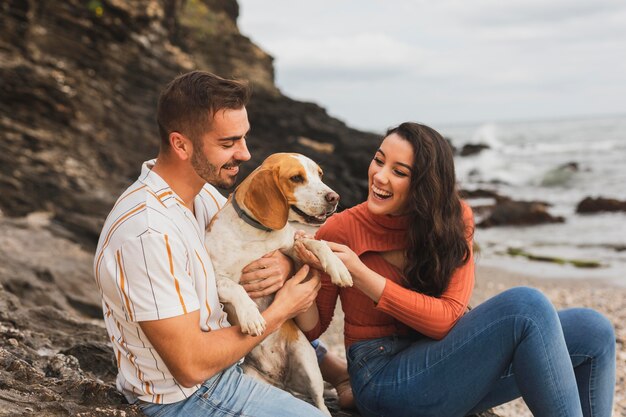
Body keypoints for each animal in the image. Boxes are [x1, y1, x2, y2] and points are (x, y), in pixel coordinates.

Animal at [205, 152, 352, 412]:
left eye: (320, 174)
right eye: (296, 178)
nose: (334, 197)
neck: (257, 234)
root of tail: (280, 380)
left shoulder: (295, 248)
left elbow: (316, 243)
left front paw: (338, 266)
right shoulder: (218, 277)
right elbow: (234, 287)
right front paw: (251, 316)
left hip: (309, 364)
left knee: (320, 403)